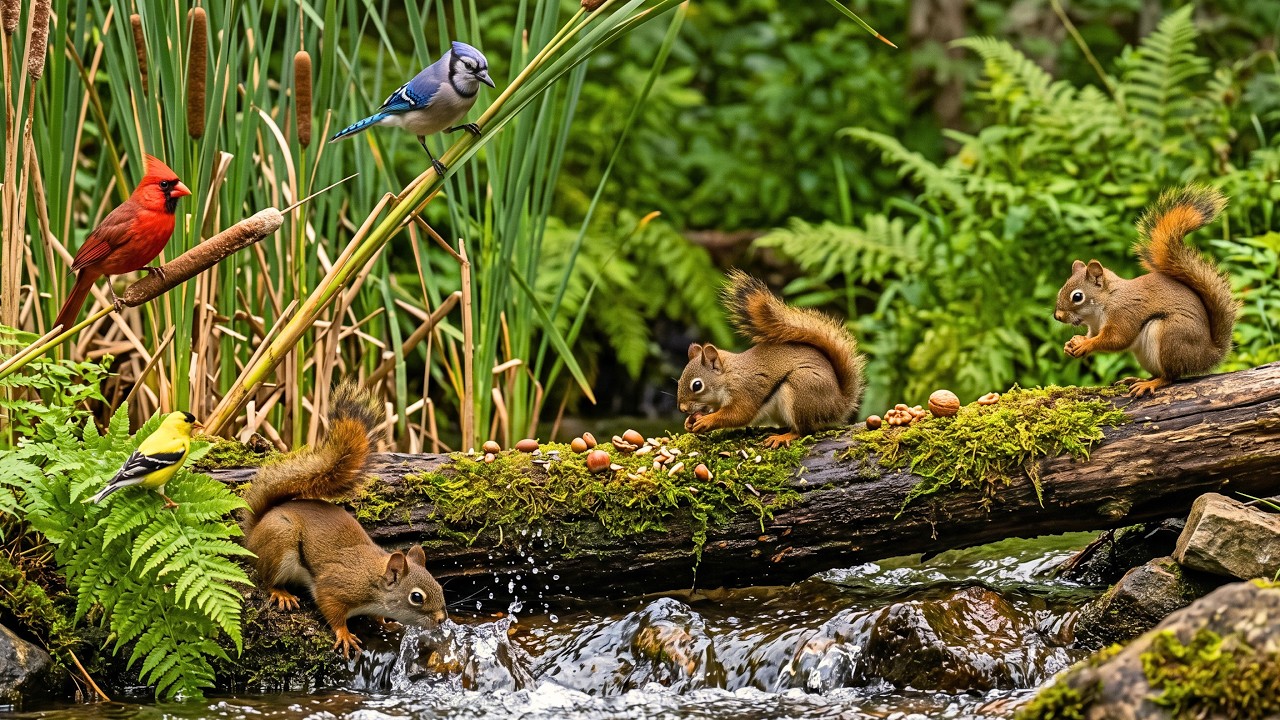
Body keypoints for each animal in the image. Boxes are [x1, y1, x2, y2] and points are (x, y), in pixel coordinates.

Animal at [241, 382, 446, 658]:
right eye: (416, 597)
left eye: (439, 586)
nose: (441, 620)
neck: (374, 580)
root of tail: (254, 532)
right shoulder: (336, 586)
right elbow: (331, 609)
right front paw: (345, 634)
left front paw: (386, 623)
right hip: (280, 539)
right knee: (267, 578)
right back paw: (281, 593)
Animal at [678, 269, 866, 448]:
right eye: (679, 381)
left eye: (697, 385)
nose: (682, 408)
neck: (729, 375)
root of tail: (838, 404)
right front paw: (689, 422)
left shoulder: (745, 390)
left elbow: (739, 415)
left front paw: (706, 421)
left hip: (802, 391)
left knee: (804, 430)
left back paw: (783, 437)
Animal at [1055, 185, 1238, 397]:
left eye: (1077, 296)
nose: (1057, 316)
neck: (1104, 304)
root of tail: (1207, 355)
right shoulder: (1095, 327)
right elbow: (1093, 335)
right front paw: (1072, 343)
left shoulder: (1124, 314)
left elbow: (1117, 339)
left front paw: (1085, 345)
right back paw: (1138, 379)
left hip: (1171, 337)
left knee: (1170, 376)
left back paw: (1150, 383)